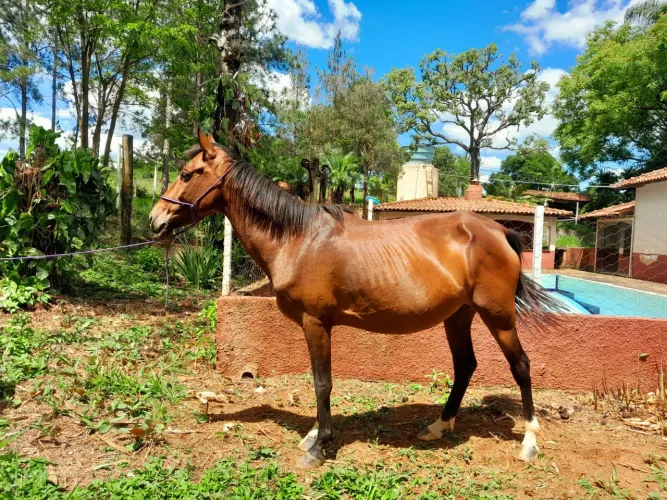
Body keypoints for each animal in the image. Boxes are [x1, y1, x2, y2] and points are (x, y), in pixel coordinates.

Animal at [149, 129, 559, 469]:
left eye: (187, 174)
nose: (156, 219)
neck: (297, 239)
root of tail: (498, 229)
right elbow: (320, 381)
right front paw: (314, 435)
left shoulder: (315, 322)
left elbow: (322, 383)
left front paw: (319, 446)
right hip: (459, 315)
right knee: (465, 366)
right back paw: (438, 426)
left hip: (498, 315)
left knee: (521, 366)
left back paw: (529, 442)